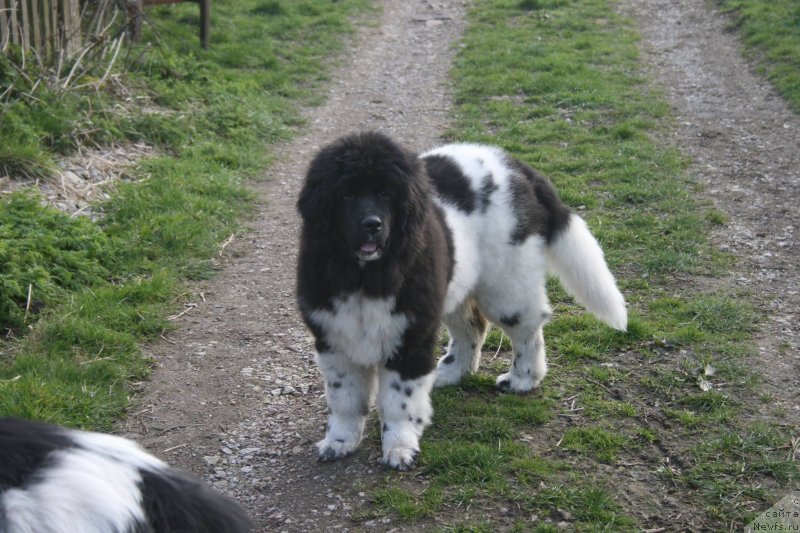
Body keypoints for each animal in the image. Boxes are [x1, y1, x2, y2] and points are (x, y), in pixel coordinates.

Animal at [296, 131, 628, 468]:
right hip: (455, 287)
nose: (372, 224)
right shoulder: (333, 338)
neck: (365, 276)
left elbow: (399, 401)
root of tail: (515, 165)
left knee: (528, 329)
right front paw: (339, 442)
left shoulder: (411, 338)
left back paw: (522, 379)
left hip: (505, 285)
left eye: (385, 194)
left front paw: (400, 448)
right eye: (347, 196)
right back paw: (450, 372)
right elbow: (345, 399)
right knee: (473, 328)